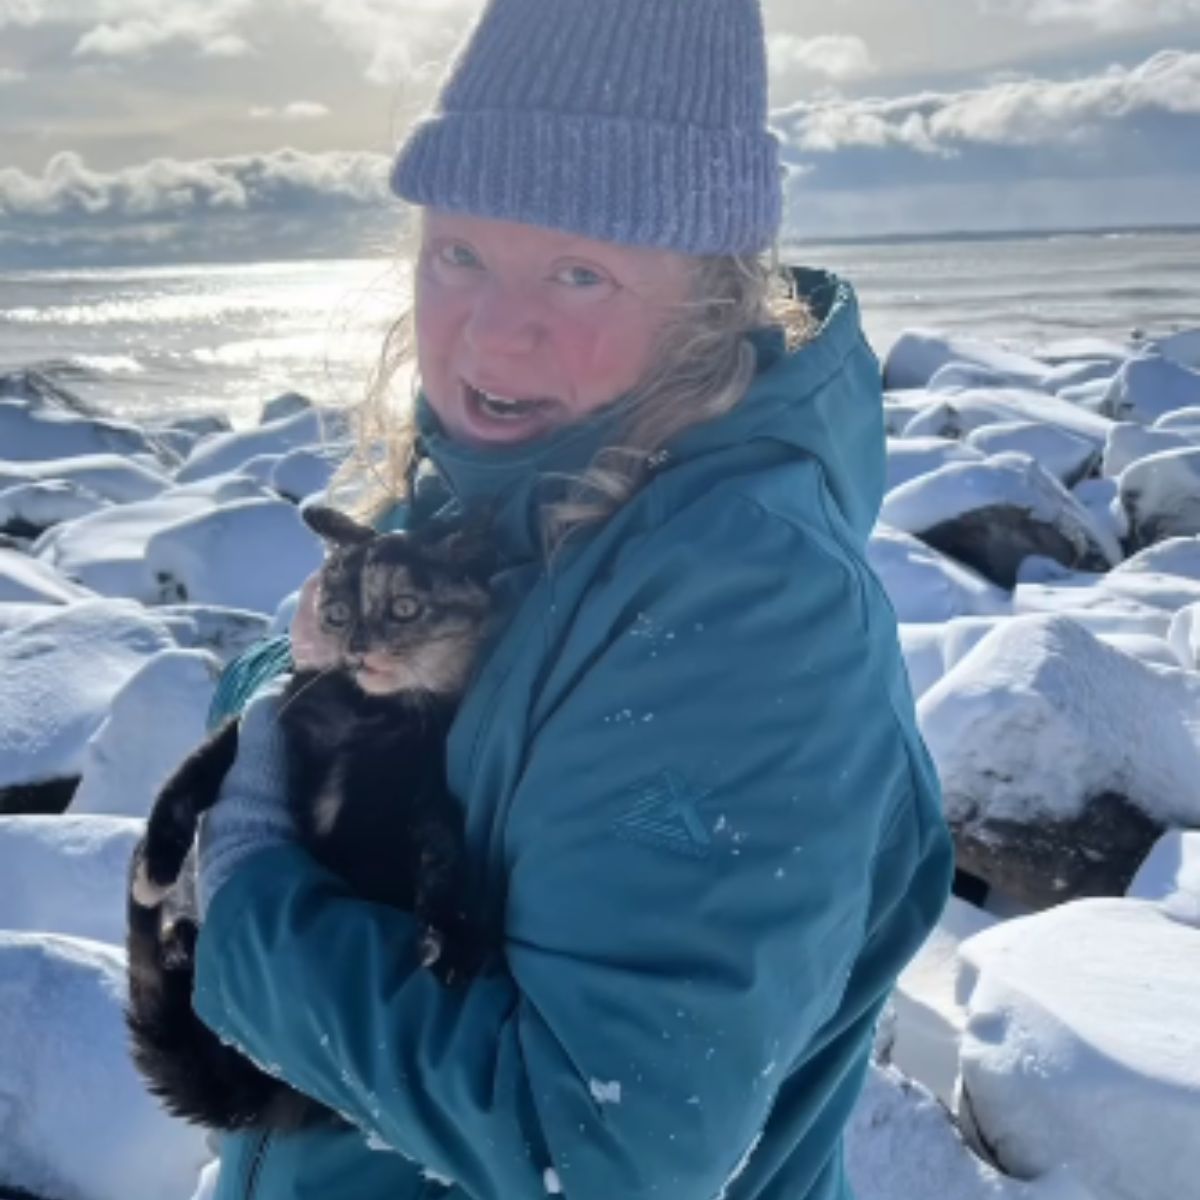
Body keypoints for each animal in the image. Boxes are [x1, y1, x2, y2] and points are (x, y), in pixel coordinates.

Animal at [124, 501, 494, 1128]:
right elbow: (190, 773)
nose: (358, 647)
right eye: (338, 614)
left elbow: (443, 848)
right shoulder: (271, 713)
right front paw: (156, 866)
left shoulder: (422, 783)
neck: (367, 717)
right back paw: (181, 941)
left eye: (404, 607)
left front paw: (452, 936)